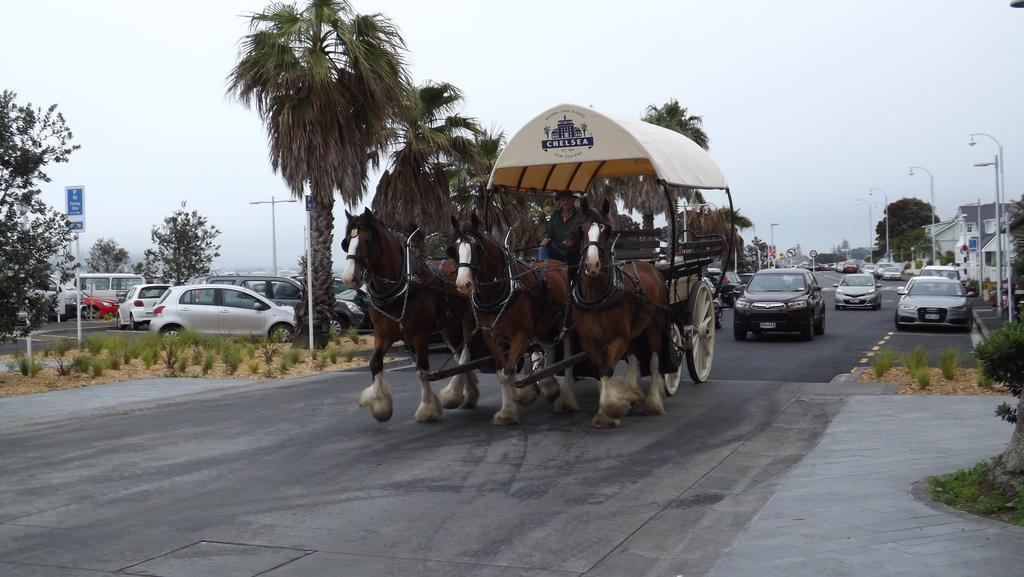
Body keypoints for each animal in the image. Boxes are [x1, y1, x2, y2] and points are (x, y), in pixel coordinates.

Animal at [337, 209, 477, 424]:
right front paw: (381, 406)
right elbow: (375, 364)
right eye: (346, 242)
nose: (348, 278)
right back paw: (467, 395)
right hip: (449, 327)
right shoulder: (384, 334)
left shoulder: (419, 335)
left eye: (367, 240)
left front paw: (427, 408)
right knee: (460, 353)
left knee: (465, 354)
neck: (402, 285)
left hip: (469, 319)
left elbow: (423, 370)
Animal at [448, 214, 577, 426]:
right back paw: (548, 385)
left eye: (477, 246)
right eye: (454, 248)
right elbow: (502, 373)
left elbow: (509, 370)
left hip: (563, 324)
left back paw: (566, 398)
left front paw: (514, 405)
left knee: (566, 358)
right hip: (541, 327)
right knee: (549, 349)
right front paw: (509, 407)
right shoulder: (492, 338)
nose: (463, 284)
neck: (501, 290)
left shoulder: (522, 336)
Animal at [577, 198, 671, 428]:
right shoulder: (588, 341)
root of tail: (649, 266)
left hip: (655, 325)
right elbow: (599, 372)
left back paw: (653, 402)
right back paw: (635, 394)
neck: (598, 298)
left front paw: (610, 410)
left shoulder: (618, 338)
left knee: (654, 361)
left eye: (607, 230)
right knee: (635, 357)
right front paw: (614, 405)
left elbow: (606, 370)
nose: (592, 265)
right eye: (582, 229)